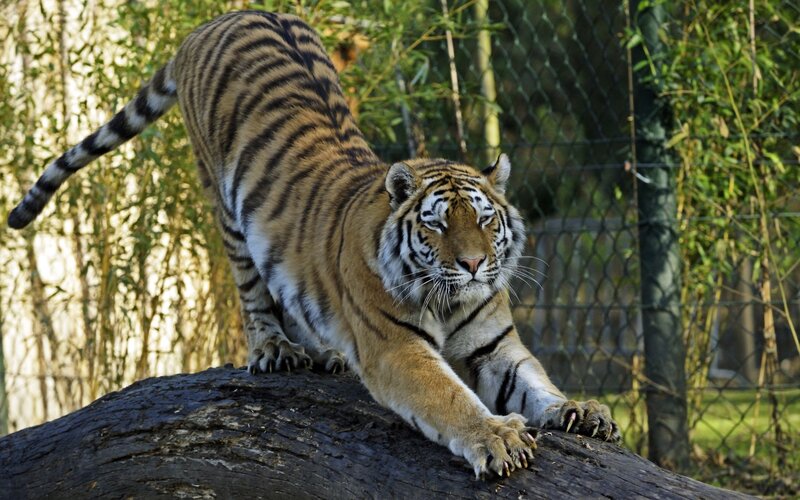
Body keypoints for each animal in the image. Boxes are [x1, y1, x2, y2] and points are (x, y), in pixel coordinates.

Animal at [7, 10, 619, 477]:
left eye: (486, 220)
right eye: (438, 225)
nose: (473, 265)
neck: (451, 299)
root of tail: (216, 20)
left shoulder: (495, 346)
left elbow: (536, 383)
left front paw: (581, 411)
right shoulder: (397, 348)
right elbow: (448, 398)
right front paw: (496, 437)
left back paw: (325, 353)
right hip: (224, 203)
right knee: (253, 293)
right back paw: (275, 350)